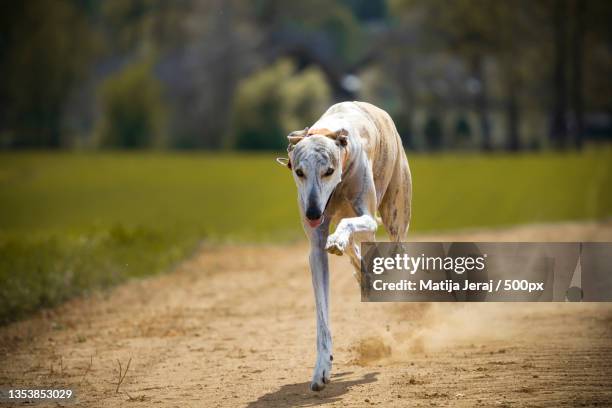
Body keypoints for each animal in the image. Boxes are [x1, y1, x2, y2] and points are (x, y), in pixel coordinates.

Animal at [276, 100, 412, 390]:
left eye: (328, 170)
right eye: (299, 172)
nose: (312, 213)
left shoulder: (368, 218)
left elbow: (353, 227)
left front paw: (339, 239)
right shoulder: (316, 249)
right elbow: (322, 315)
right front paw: (321, 367)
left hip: (395, 213)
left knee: (394, 249)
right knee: (357, 251)